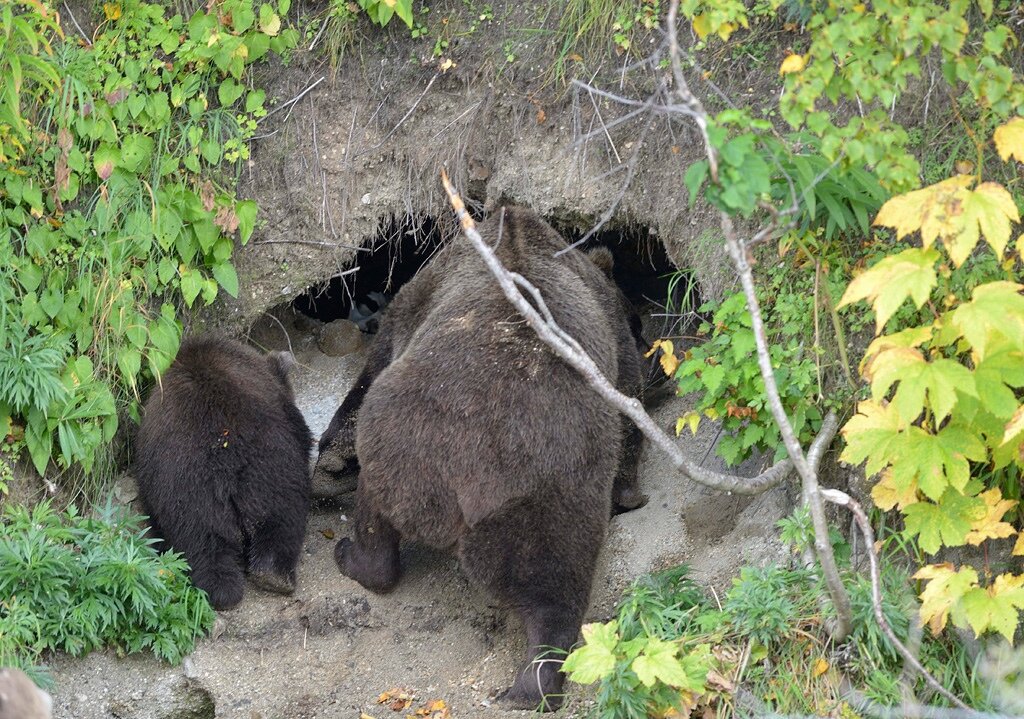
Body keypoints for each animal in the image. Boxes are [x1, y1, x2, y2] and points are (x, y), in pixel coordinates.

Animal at [136, 337, 311, 614]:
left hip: (190, 492)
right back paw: (268, 579)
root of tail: (225, 463)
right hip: (266, 469)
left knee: (204, 541)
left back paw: (241, 584)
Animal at [315, 206, 643, 708]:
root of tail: (471, 472)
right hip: (515, 483)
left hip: (433, 454)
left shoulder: (414, 301)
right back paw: (533, 681)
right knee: (554, 580)